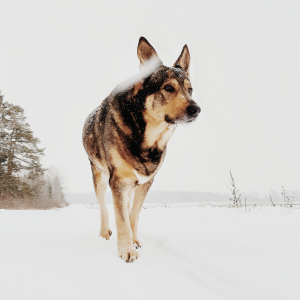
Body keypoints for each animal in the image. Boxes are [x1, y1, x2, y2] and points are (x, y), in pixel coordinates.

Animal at [82, 37, 200, 262]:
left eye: (190, 90)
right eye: (168, 87)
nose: (196, 109)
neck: (147, 139)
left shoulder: (145, 182)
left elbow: (133, 215)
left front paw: (133, 241)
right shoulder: (118, 181)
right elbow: (120, 217)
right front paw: (126, 250)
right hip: (99, 176)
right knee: (103, 208)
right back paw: (104, 232)